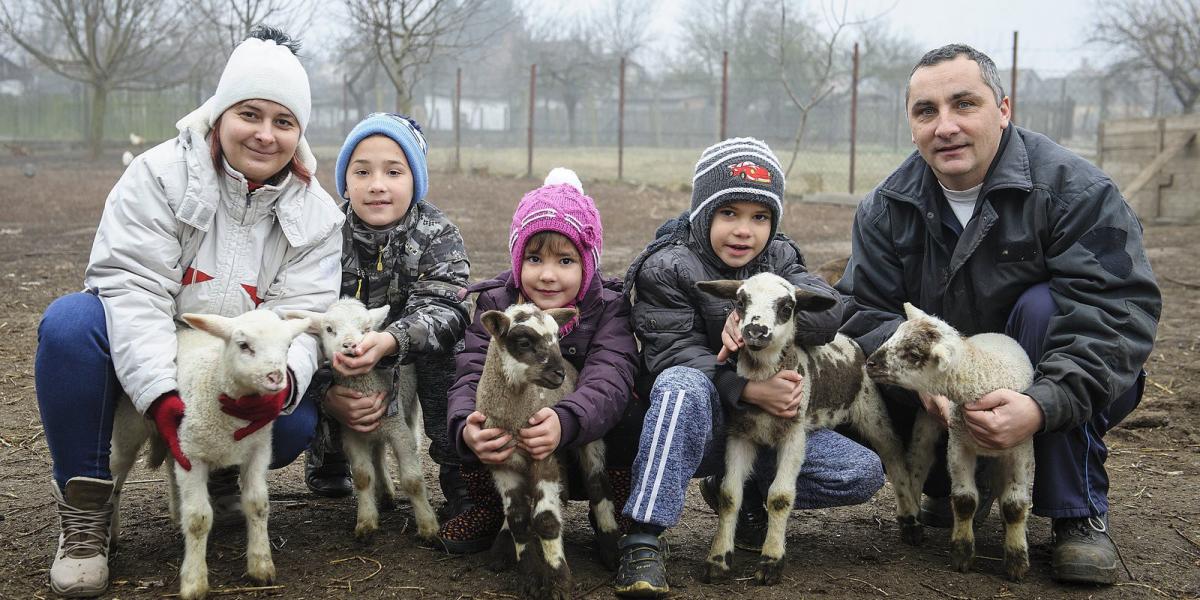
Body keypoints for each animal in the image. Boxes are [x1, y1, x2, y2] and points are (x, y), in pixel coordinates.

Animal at [108, 309, 312, 600]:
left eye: (288, 346)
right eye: (244, 345)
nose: (276, 378)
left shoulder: (257, 449)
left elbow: (258, 505)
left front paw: (261, 565)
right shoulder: (193, 457)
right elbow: (198, 519)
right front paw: (194, 582)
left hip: (177, 436)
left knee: (169, 465)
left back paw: (175, 511)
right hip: (130, 428)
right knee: (115, 481)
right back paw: (110, 536)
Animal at [284, 300, 436, 544]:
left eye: (366, 329)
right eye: (329, 329)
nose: (350, 345)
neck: (364, 385)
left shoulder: (398, 429)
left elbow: (412, 480)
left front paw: (428, 526)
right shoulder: (352, 434)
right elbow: (363, 477)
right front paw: (365, 523)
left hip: (409, 409)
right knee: (378, 454)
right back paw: (385, 494)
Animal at [868, 304, 1036, 580]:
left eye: (914, 354)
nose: (870, 363)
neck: (983, 376)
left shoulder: (1019, 447)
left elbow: (1015, 505)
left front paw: (1016, 562)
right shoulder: (959, 444)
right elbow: (964, 500)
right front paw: (962, 554)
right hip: (928, 419)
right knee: (918, 464)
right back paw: (911, 519)